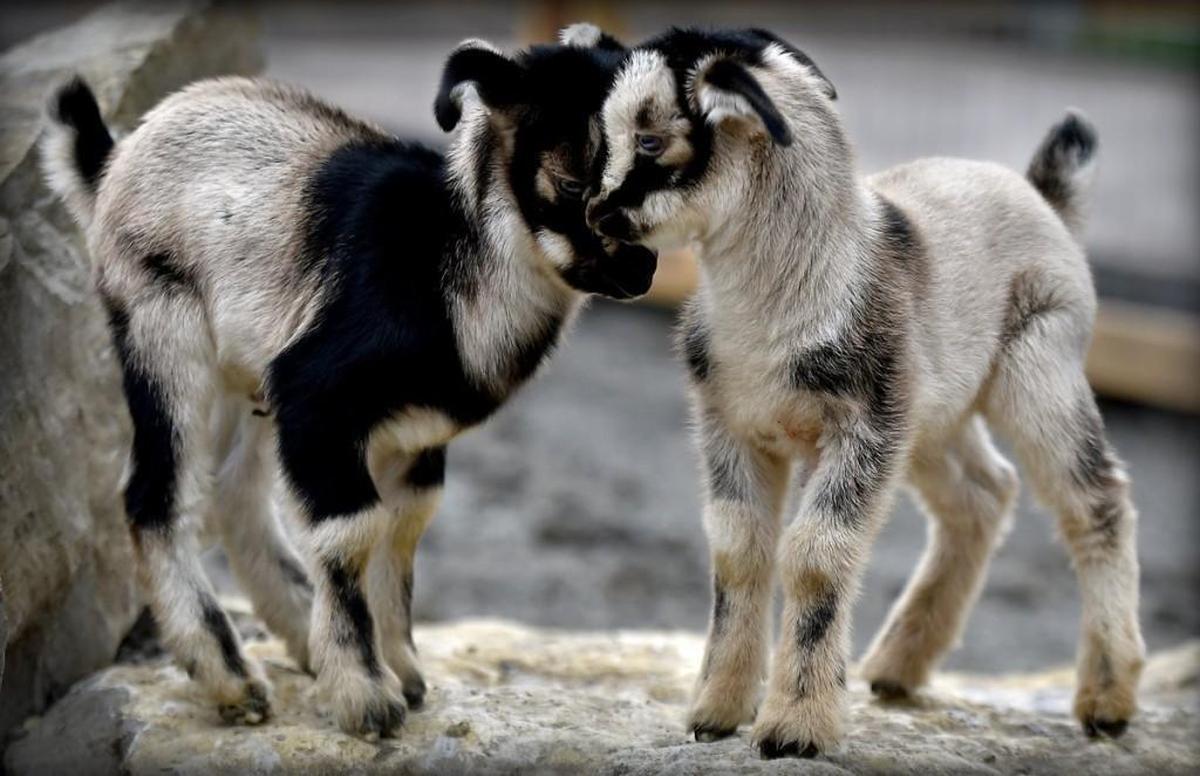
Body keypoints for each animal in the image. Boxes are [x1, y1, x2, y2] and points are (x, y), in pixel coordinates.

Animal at [40, 23, 654, 738]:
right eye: (571, 177)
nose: (642, 270)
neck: (453, 259)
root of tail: (113, 162)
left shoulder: (409, 437)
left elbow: (404, 527)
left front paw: (401, 673)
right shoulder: (318, 397)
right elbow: (353, 531)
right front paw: (367, 698)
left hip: (248, 382)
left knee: (235, 493)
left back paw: (296, 639)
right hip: (162, 331)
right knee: (156, 497)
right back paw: (233, 683)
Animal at [587, 26, 1143, 758]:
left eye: (650, 141)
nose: (594, 212)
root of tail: (1043, 198)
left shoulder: (864, 428)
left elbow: (815, 554)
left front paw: (795, 727)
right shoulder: (731, 423)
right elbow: (738, 550)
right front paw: (716, 712)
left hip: (1039, 365)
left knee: (1096, 501)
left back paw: (1106, 702)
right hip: (934, 418)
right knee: (983, 495)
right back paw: (896, 669)